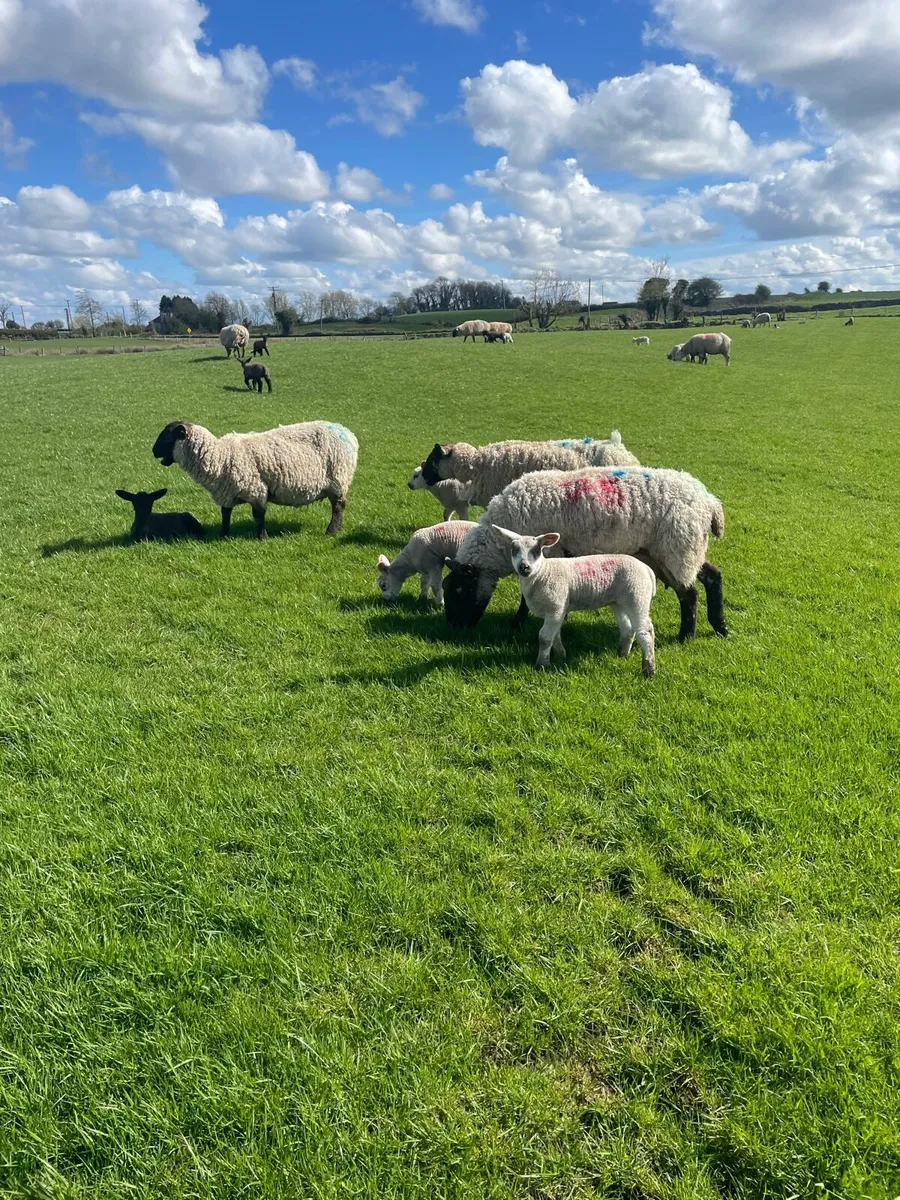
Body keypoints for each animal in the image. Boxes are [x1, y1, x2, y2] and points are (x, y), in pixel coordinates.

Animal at [151, 419, 358, 540]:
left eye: (166, 437)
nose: (153, 451)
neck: (221, 455)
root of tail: (348, 433)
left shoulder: (256, 489)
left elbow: (258, 516)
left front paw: (262, 537)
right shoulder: (226, 492)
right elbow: (225, 514)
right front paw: (223, 535)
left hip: (337, 480)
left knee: (338, 506)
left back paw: (332, 531)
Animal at [441, 465, 727, 643]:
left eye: (459, 590)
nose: (454, 628)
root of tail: (711, 503)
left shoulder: (545, 553)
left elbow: (526, 596)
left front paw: (518, 624)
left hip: (677, 546)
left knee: (689, 594)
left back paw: (686, 636)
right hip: (677, 550)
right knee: (712, 576)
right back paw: (720, 626)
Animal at [491, 525, 657, 676]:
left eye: (537, 551)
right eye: (514, 550)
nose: (524, 567)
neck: (543, 573)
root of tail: (647, 569)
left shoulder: (555, 607)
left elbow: (544, 637)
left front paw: (542, 664)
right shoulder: (557, 610)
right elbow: (555, 635)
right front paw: (560, 656)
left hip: (637, 595)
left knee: (645, 630)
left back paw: (648, 670)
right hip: (619, 601)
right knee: (628, 628)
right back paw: (622, 654)